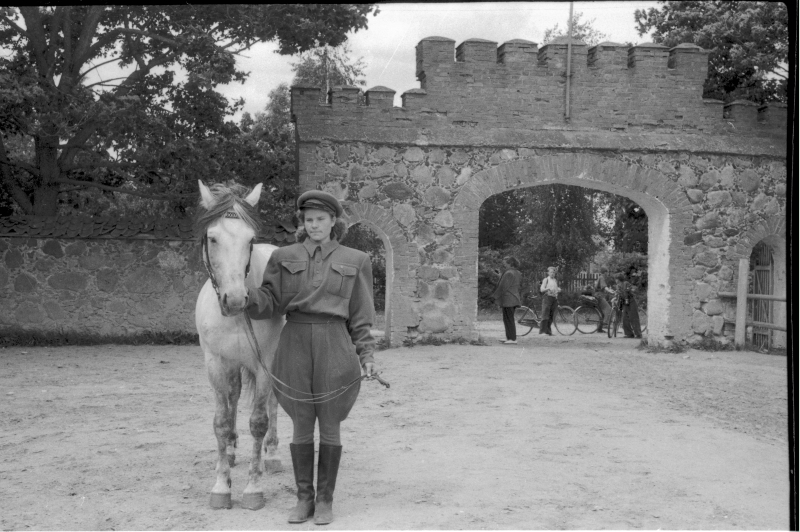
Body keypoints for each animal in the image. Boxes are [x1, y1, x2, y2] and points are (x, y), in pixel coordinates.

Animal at [195, 180, 284, 512]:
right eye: (212, 237)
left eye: (250, 240)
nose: (234, 300)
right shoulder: (216, 364)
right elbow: (221, 421)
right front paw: (221, 486)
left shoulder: (264, 363)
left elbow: (258, 421)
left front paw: (253, 488)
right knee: (233, 397)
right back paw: (232, 451)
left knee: (273, 404)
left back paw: (272, 455)